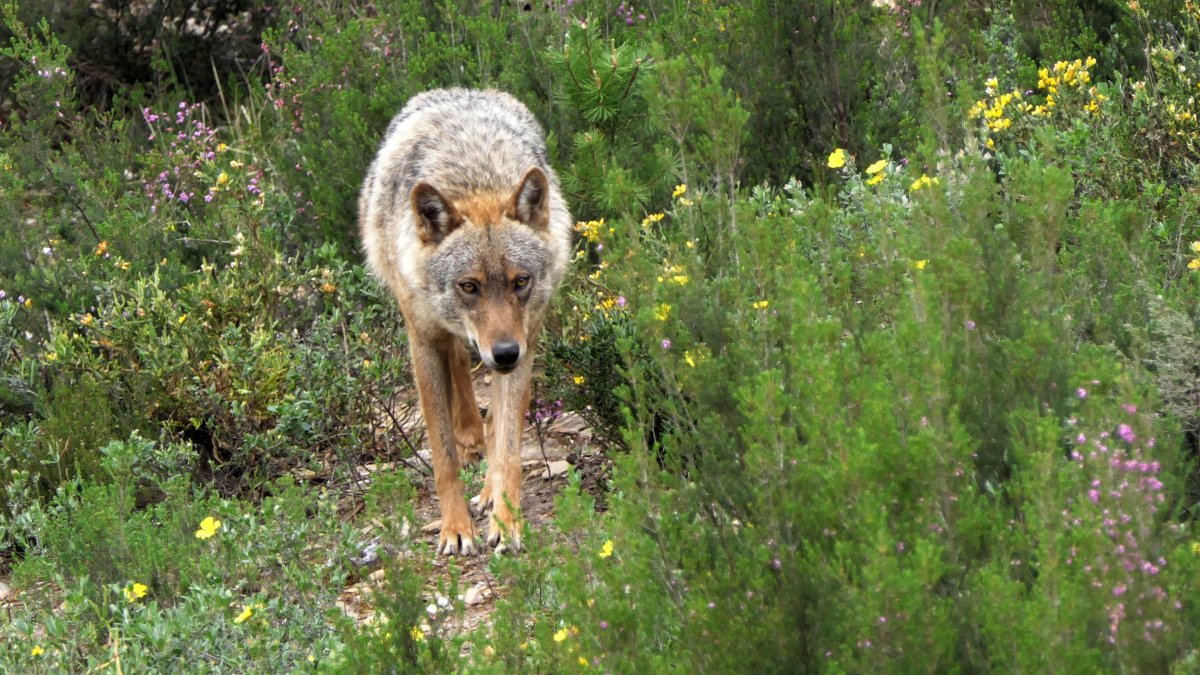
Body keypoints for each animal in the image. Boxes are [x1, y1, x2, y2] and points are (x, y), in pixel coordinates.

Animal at [359, 89, 573, 555]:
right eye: (469, 286)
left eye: (520, 281)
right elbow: (443, 456)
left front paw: (506, 521)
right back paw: (470, 433)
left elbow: (509, 446)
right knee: (458, 359)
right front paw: (455, 528)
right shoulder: (422, 341)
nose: (505, 352)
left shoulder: (526, 339)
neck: (475, 177)